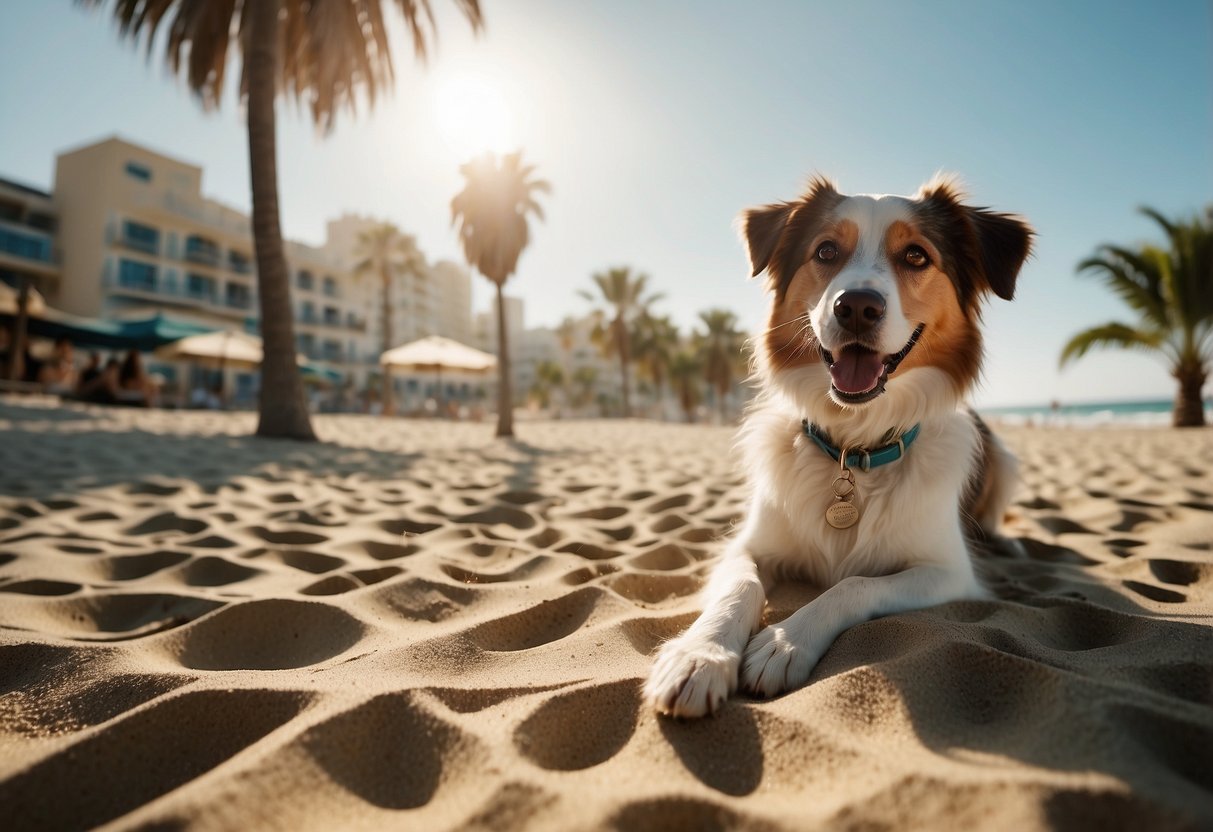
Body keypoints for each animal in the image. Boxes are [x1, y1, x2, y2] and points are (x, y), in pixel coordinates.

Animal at [645, 174, 1033, 717]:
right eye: (826, 250)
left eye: (916, 256)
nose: (856, 307)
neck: (854, 444)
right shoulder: (746, 546)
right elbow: (741, 586)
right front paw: (699, 656)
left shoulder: (947, 572)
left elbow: (853, 584)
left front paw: (784, 642)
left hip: (1005, 460)